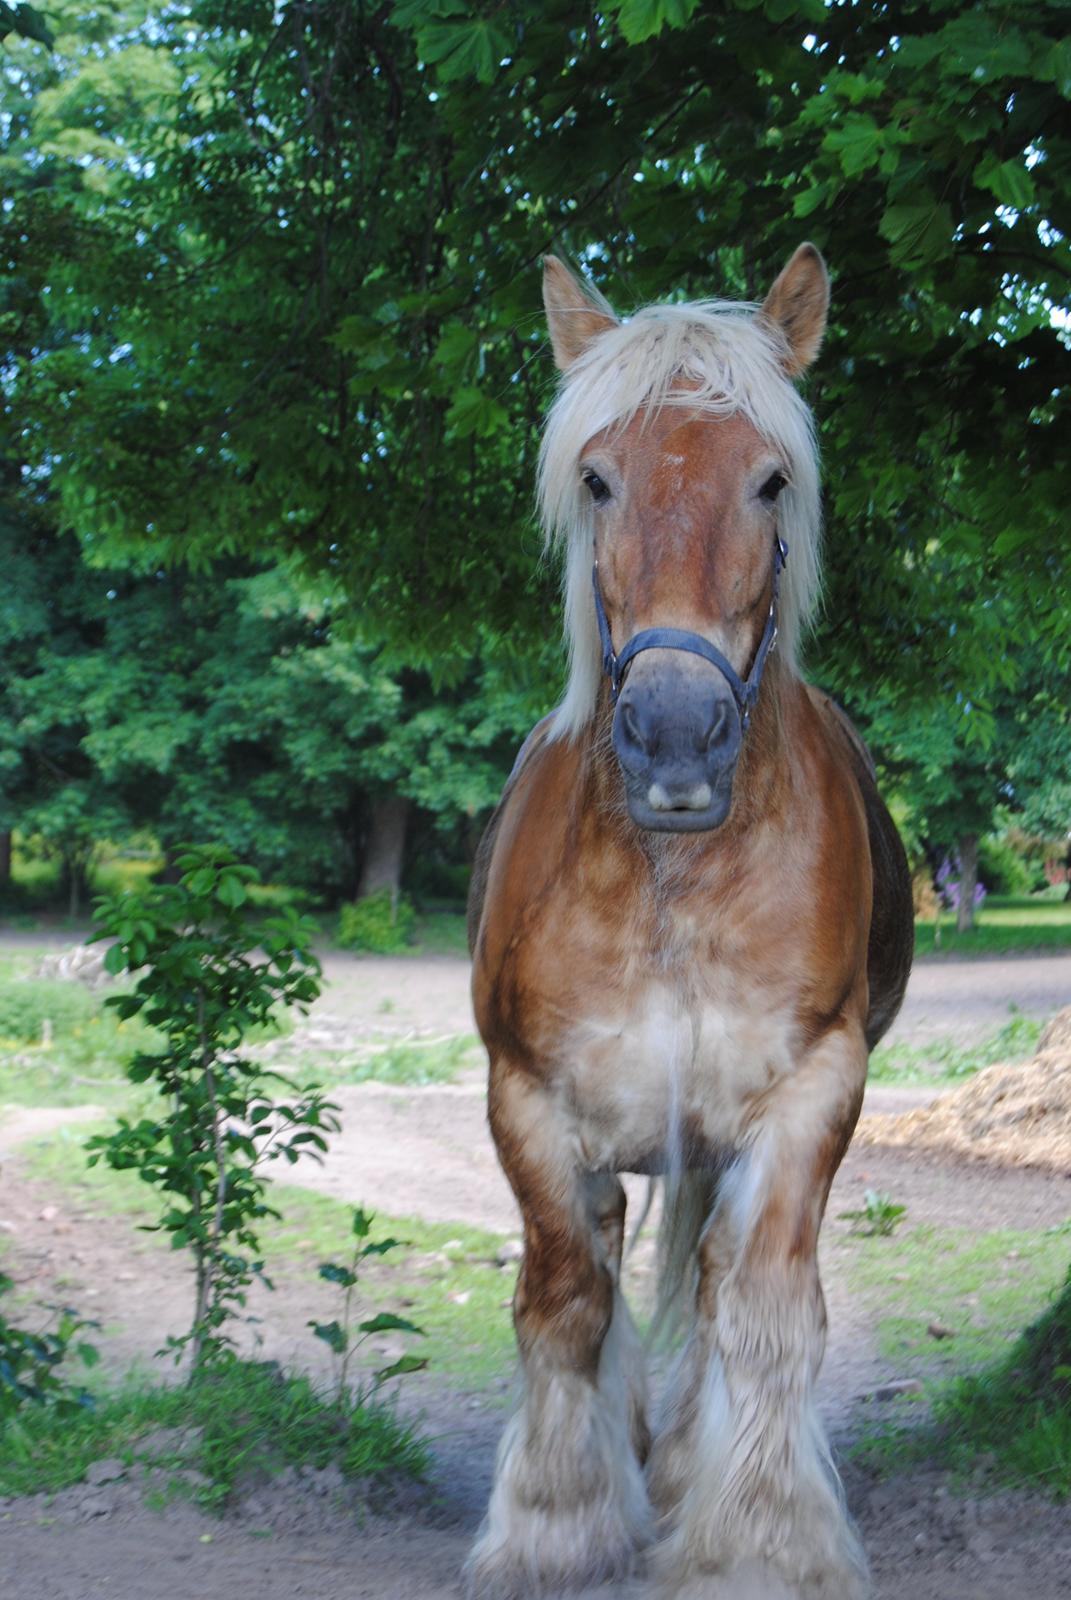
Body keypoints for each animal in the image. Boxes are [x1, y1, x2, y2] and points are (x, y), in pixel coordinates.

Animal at [464, 240, 909, 1600]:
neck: (672, 877)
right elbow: (564, 1301)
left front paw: (758, 1537)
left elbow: (761, 1314)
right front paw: (554, 1522)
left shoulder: (810, 1093)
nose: (673, 736)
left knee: (716, 1292)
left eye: (771, 480)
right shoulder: (530, 1101)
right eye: (596, 478)